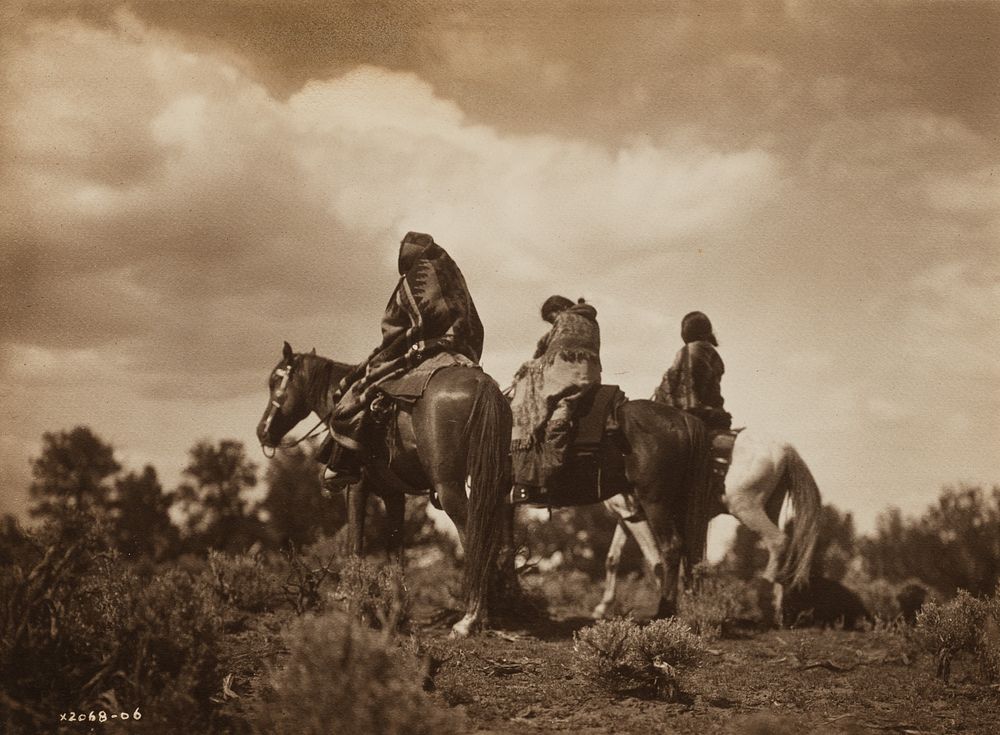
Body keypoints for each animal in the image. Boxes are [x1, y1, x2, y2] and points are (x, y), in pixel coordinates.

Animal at [258, 344, 512, 640]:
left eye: (275, 382)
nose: (262, 431)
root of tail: (482, 384)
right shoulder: (394, 494)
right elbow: (395, 552)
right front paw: (397, 611)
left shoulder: (357, 487)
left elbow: (355, 544)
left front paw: (350, 600)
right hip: (493, 485)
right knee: (491, 538)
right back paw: (488, 612)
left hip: (449, 487)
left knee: (472, 535)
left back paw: (469, 619)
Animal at [592, 428, 820, 624]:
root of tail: (783, 448)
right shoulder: (627, 516)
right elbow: (613, 558)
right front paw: (602, 608)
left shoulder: (636, 515)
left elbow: (655, 560)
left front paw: (670, 607)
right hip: (771, 506)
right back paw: (779, 611)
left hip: (746, 507)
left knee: (778, 541)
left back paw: (767, 605)